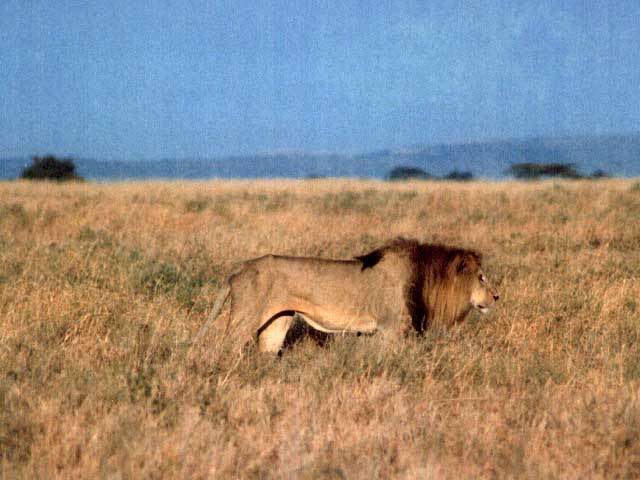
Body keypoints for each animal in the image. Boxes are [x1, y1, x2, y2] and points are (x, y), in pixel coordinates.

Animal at [193, 238, 499, 354]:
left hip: (277, 321)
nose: (496, 297)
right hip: (244, 318)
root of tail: (239, 269)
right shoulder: (390, 329)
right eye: (481, 277)